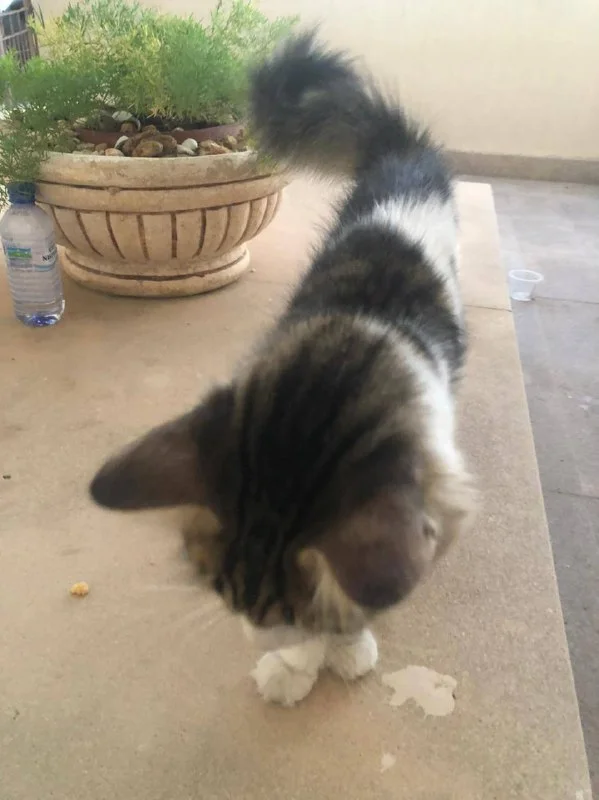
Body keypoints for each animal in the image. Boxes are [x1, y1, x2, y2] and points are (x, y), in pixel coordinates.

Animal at [90, 31, 475, 706]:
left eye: (283, 611)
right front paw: (299, 663)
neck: (333, 365)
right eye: (223, 593)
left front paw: (337, 645)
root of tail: (400, 153)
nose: (251, 629)